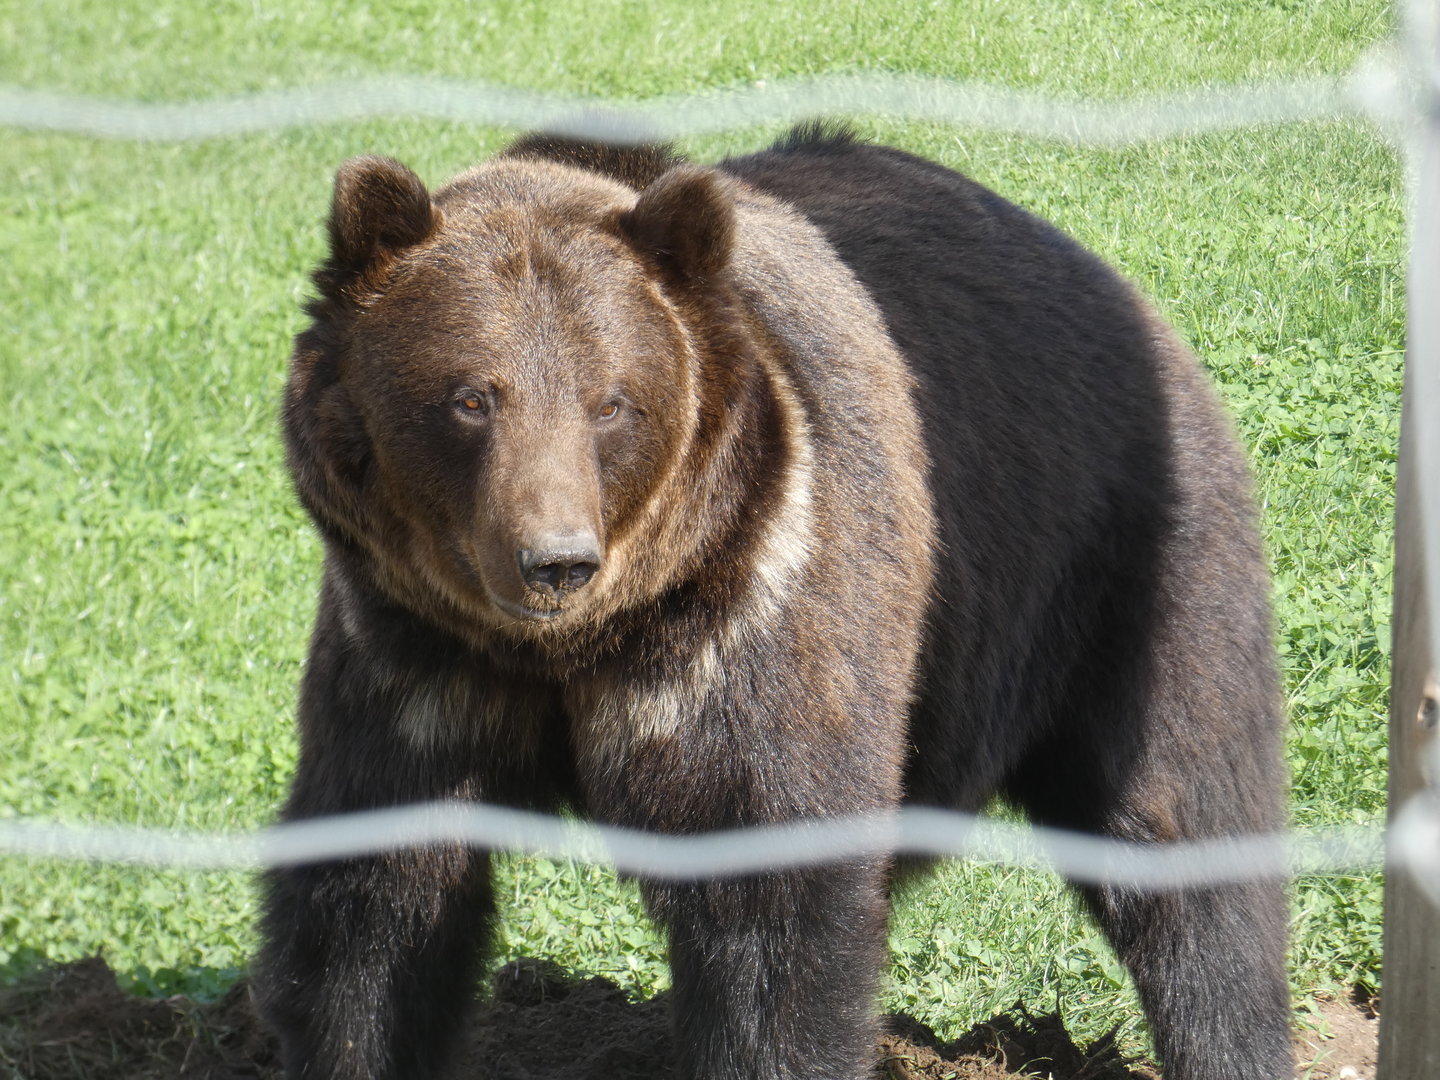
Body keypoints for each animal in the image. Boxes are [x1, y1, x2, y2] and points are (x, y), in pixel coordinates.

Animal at [257, 124, 1291, 1080]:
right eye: (472, 397)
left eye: (610, 402)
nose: (554, 561)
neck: (575, 651)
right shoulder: (410, 656)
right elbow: (374, 911)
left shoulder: (753, 617)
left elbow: (775, 914)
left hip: (1120, 564)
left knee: (1184, 832)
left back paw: (1229, 1036)